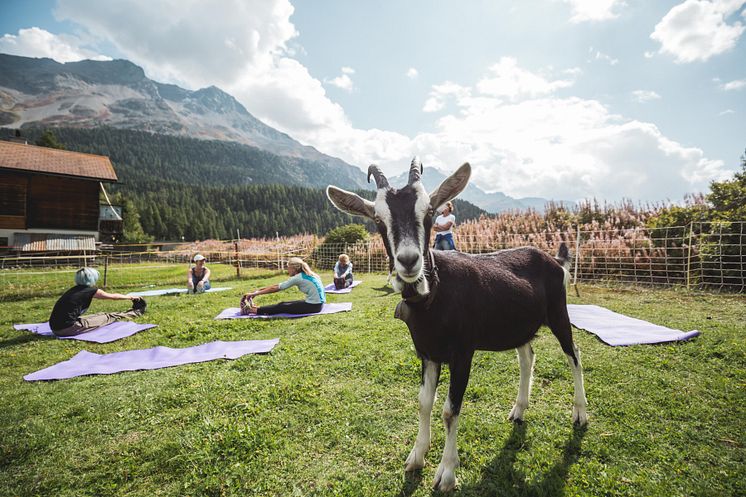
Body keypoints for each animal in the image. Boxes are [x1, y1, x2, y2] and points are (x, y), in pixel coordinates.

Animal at [326, 157, 588, 490]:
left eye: (429, 212)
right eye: (378, 219)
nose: (409, 260)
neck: (435, 296)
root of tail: (554, 261)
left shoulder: (462, 353)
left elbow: (450, 410)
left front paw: (447, 473)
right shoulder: (428, 353)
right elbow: (424, 402)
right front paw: (416, 457)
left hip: (558, 312)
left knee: (573, 353)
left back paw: (580, 414)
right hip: (520, 324)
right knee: (527, 357)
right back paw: (518, 410)